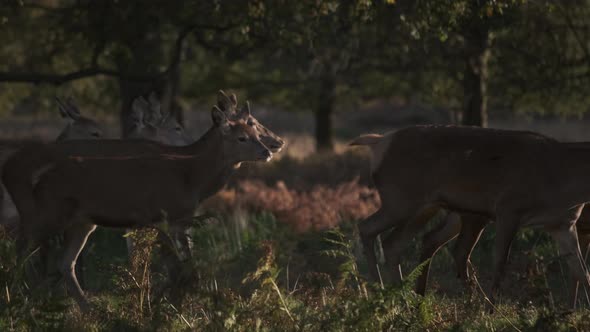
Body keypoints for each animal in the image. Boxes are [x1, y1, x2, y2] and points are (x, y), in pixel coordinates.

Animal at [2, 97, 276, 310]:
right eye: (242, 137)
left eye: (254, 132)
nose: (268, 150)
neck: (190, 176)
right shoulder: (169, 216)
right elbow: (180, 269)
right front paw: (174, 306)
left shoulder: (166, 220)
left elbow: (174, 267)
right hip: (45, 213)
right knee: (23, 249)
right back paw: (15, 297)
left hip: (81, 222)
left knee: (63, 262)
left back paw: (90, 311)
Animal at [352, 126, 590, 310]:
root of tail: (380, 141)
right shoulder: (508, 209)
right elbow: (500, 263)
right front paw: (491, 310)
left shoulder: (563, 225)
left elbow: (581, 271)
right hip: (401, 200)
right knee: (366, 227)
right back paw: (378, 294)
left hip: (425, 207)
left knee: (396, 243)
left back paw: (404, 300)